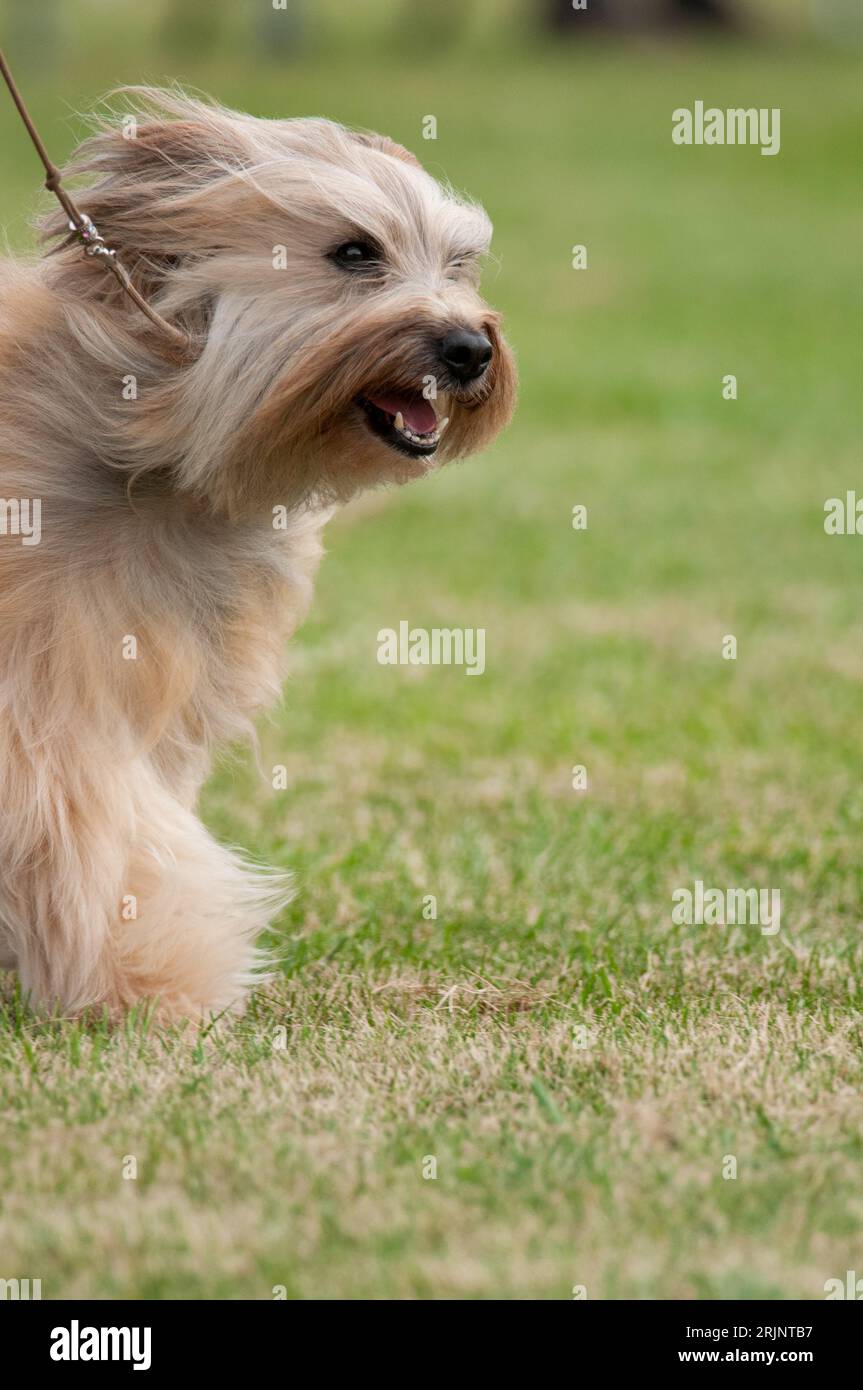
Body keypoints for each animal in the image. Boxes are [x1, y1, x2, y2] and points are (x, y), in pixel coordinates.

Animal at [0, 89, 514, 1023]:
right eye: (354, 252)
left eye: (460, 264)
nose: (470, 349)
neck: (151, 450)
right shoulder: (46, 687)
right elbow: (85, 824)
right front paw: (151, 983)